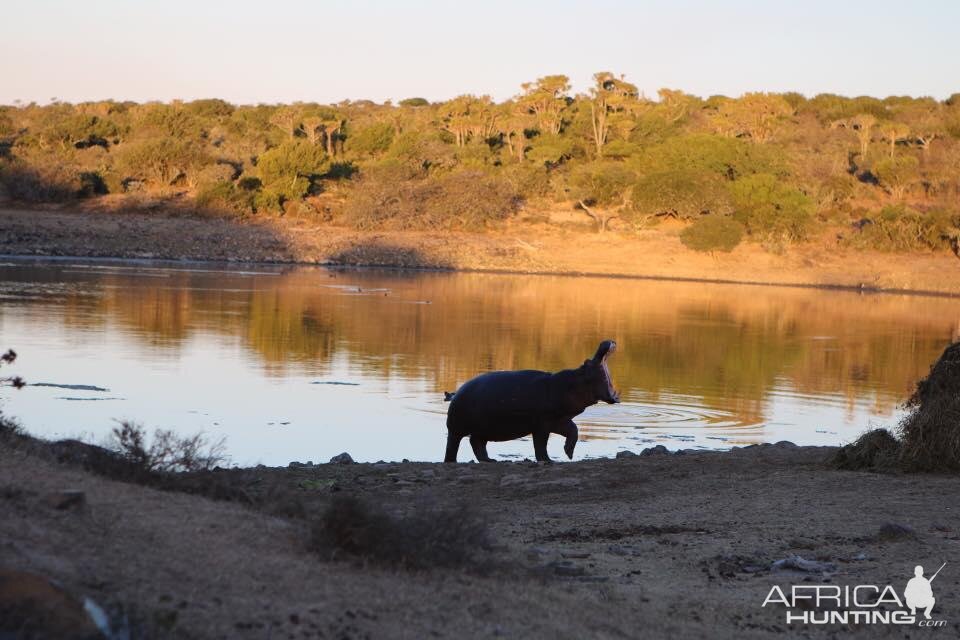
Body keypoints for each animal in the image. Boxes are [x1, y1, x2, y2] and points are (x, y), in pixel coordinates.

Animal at [444, 342, 620, 462]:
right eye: (587, 362)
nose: (604, 342)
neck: (572, 383)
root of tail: (456, 392)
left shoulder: (559, 420)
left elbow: (574, 431)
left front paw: (569, 453)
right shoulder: (542, 424)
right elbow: (540, 444)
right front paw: (548, 460)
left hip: (483, 429)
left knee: (476, 443)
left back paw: (490, 461)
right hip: (457, 429)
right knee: (453, 445)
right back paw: (453, 461)